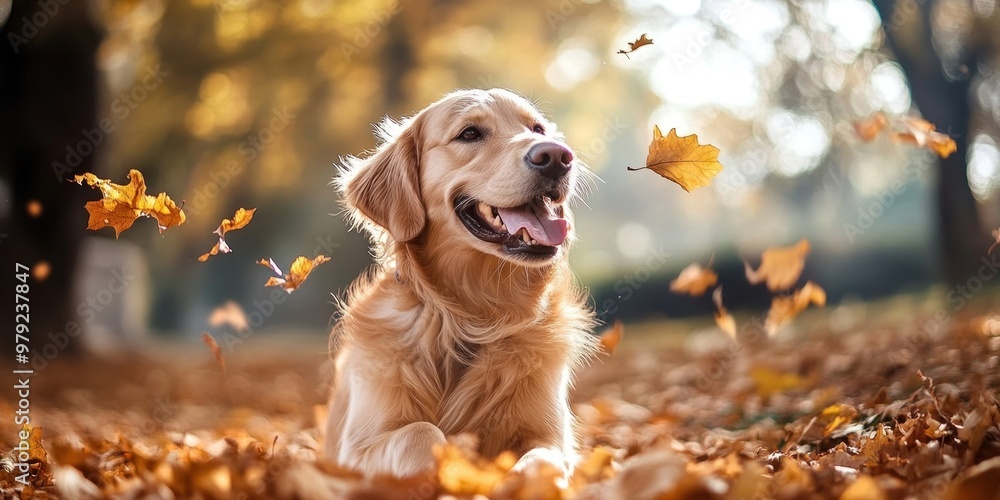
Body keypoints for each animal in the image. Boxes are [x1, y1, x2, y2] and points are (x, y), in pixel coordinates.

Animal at [324, 88, 596, 478]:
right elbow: (420, 433)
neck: (470, 316)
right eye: (469, 134)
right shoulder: (356, 447)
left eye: (537, 128)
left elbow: (542, 461)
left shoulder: (550, 436)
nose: (557, 157)